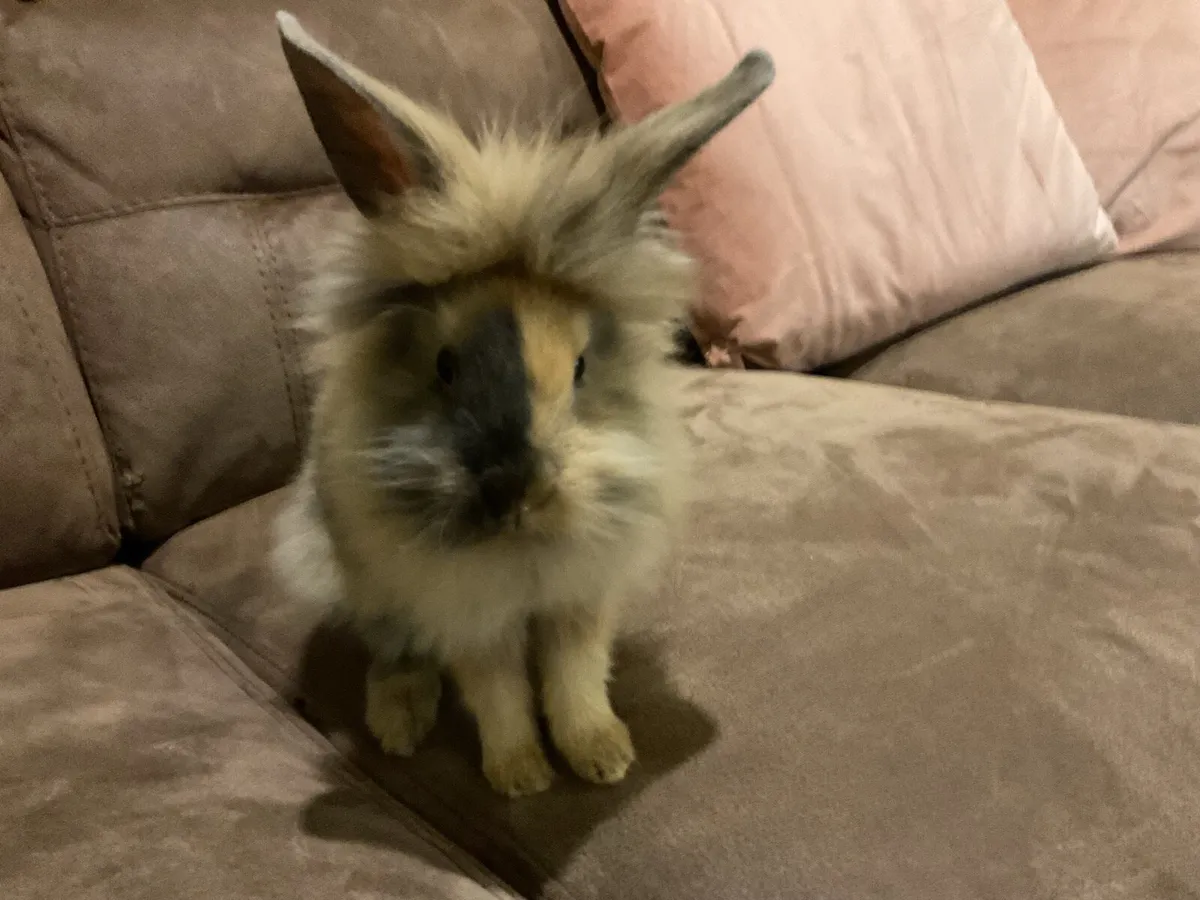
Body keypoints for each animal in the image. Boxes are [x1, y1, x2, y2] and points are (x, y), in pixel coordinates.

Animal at [270, 11, 774, 797]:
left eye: (581, 367)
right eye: (444, 366)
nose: (516, 487)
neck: (519, 552)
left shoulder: (581, 598)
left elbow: (575, 677)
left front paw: (603, 757)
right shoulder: (465, 614)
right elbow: (498, 693)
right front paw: (522, 777)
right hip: (355, 576)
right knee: (393, 649)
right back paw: (399, 723)